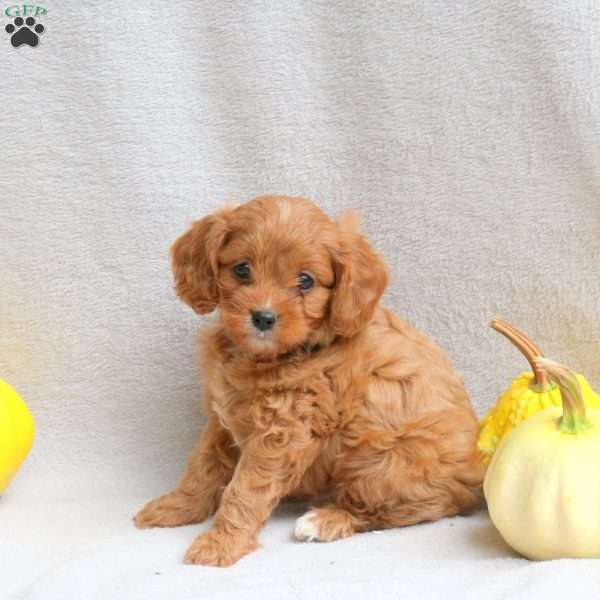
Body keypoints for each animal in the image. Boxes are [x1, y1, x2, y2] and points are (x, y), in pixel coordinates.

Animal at [135, 195, 482, 564]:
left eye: (305, 281)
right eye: (242, 269)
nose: (263, 317)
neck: (274, 356)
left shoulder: (282, 433)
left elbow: (245, 491)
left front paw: (219, 544)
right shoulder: (222, 419)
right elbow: (202, 466)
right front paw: (176, 508)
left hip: (386, 464)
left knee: (394, 511)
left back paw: (325, 520)